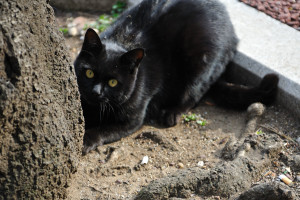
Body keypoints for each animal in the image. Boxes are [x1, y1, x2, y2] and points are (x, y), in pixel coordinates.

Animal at [74, 0, 278, 154]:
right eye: (89, 73)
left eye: (113, 82)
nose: (96, 92)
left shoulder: (132, 119)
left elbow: (103, 129)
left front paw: (86, 139)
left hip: (200, 63)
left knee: (195, 94)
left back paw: (171, 113)